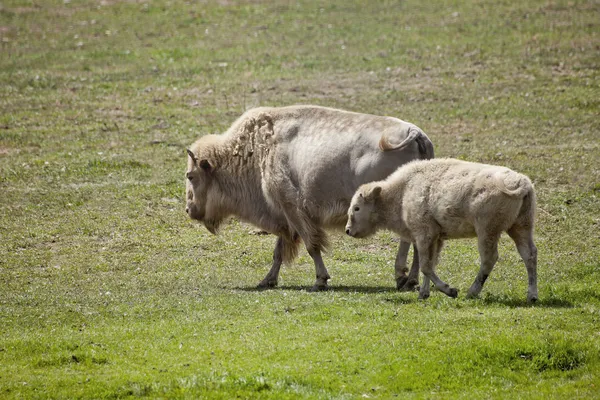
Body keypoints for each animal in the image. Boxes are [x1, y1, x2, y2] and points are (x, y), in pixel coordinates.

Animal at [185, 104, 434, 290]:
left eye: (191, 175)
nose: (189, 209)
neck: (258, 149)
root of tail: (415, 133)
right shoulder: (285, 215)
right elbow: (279, 251)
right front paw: (267, 280)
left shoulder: (293, 210)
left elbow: (311, 245)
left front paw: (320, 281)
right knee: (416, 241)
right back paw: (410, 280)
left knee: (407, 239)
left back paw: (402, 277)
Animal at [346, 158, 540, 302]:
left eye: (357, 208)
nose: (348, 230)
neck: (403, 191)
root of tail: (522, 183)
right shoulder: (436, 238)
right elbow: (430, 264)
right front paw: (423, 294)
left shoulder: (424, 235)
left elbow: (425, 265)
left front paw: (449, 290)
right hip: (521, 227)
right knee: (529, 255)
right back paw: (532, 296)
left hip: (487, 231)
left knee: (489, 259)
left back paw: (472, 292)